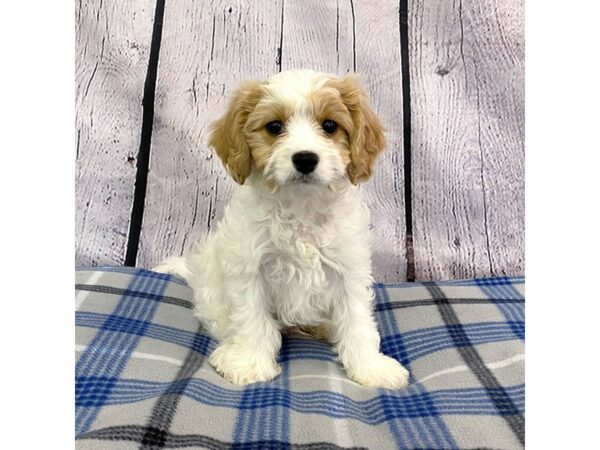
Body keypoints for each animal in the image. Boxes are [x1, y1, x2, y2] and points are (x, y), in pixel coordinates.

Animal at [155, 70, 410, 390]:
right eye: (274, 127)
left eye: (329, 125)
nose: (305, 158)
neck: (301, 205)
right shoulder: (249, 268)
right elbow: (251, 318)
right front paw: (249, 362)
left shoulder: (349, 268)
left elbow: (357, 320)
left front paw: (370, 366)